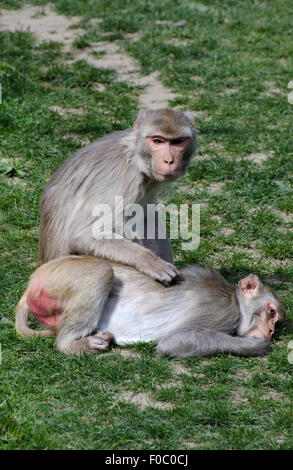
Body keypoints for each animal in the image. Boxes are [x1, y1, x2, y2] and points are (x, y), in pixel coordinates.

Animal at [14, 255, 286, 358]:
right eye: (271, 312)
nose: (271, 331)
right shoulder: (221, 311)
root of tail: (33, 281)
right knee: (102, 272)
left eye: (278, 322)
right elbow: (173, 342)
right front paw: (253, 346)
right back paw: (72, 344)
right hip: (62, 277)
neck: (235, 300)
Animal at [37, 108, 195, 284]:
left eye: (177, 142)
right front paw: (149, 261)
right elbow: (84, 235)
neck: (134, 157)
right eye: (157, 141)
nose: (169, 161)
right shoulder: (121, 180)